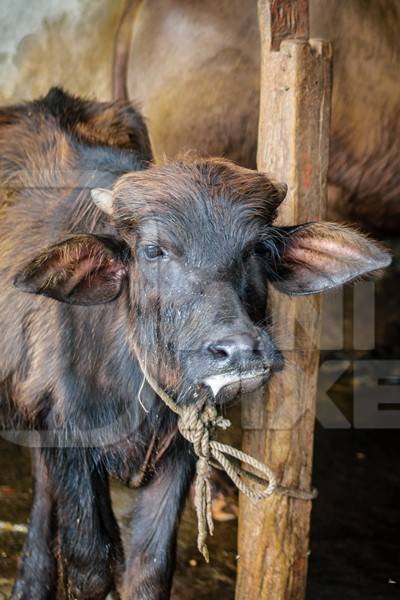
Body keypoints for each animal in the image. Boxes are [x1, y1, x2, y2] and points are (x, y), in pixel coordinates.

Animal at [0, 86, 388, 596]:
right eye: (153, 251)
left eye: (257, 249)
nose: (238, 350)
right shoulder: (64, 435)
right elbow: (89, 561)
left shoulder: (179, 451)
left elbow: (149, 568)